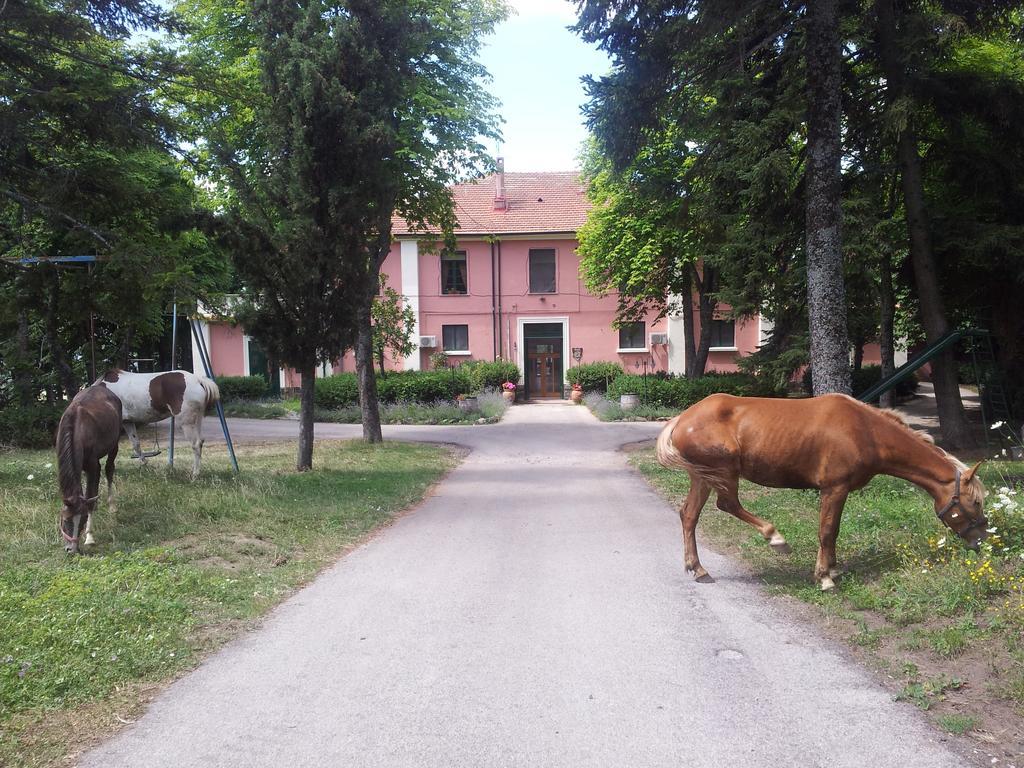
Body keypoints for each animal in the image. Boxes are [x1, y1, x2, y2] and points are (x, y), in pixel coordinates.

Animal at [56, 387, 122, 557]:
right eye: (66, 520)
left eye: (83, 520)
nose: (71, 550)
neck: (78, 428)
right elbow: (86, 494)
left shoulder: (93, 466)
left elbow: (90, 498)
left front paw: (89, 537)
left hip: (114, 445)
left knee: (109, 469)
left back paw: (111, 505)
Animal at [655, 393, 983, 593]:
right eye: (976, 502)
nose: (981, 540)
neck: (866, 431)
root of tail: (681, 420)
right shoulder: (834, 489)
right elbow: (827, 531)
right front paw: (825, 577)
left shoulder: (840, 491)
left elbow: (833, 532)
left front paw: (833, 569)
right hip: (722, 473)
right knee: (728, 504)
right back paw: (776, 538)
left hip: (702, 476)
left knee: (689, 516)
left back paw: (698, 568)